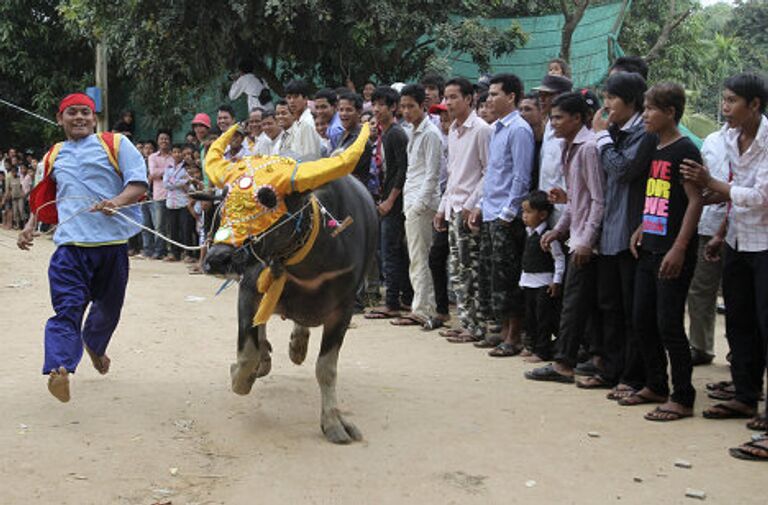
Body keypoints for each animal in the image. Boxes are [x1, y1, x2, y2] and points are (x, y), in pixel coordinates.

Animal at [201, 124, 376, 442]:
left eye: (269, 198)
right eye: (225, 199)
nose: (218, 257)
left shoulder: (344, 310)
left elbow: (326, 368)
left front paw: (333, 422)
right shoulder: (249, 289)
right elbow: (247, 353)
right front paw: (242, 376)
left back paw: (297, 346)